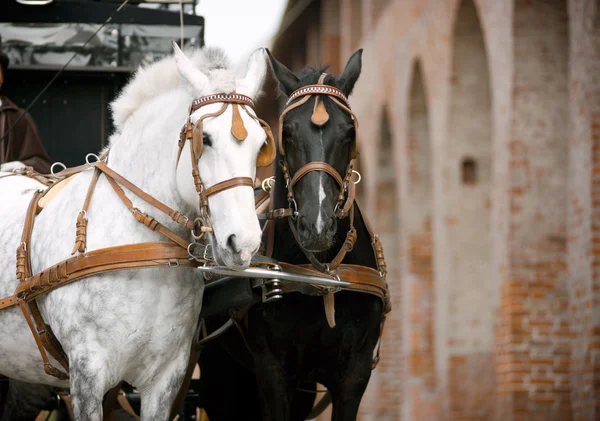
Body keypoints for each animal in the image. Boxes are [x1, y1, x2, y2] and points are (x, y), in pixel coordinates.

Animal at [0, 43, 268, 420]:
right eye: (206, 139)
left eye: (261, 144)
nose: (243, 243)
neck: (141, 248)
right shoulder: (87, 376)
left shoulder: (166, 378)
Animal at [198, 49, 390, 420]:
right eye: (286, 131)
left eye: (349, 132)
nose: (317, 225)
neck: (321, 278)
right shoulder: (273, 374)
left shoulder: (354, 375)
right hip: (220, 375)